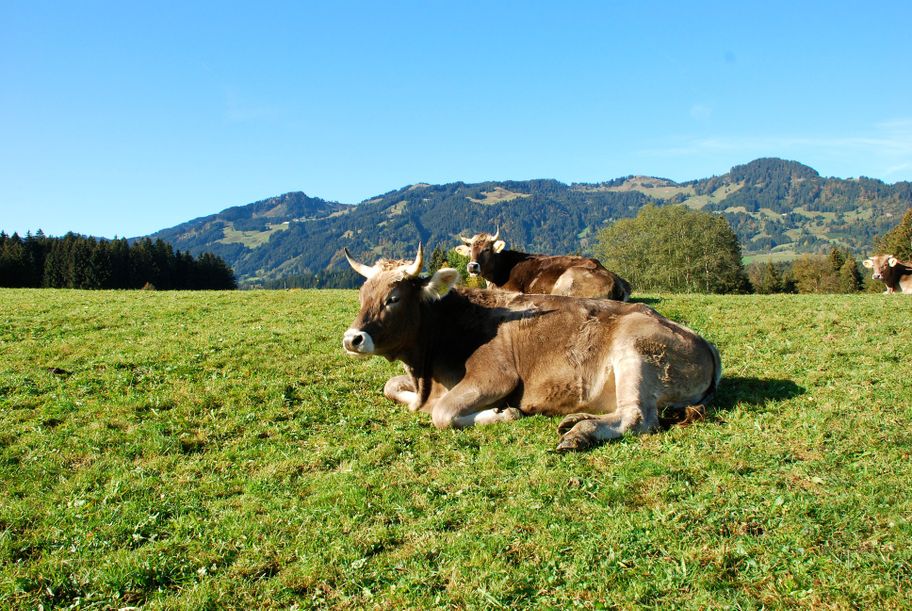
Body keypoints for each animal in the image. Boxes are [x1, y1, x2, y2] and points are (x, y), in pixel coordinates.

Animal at [341, 244, 721, 451]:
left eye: (393, 298)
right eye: (362, 295)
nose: (352, 339)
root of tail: (703, 340)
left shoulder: (496, 376)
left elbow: (442, 413)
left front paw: (502, 414)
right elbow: (392, 387)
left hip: (636, 354)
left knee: (637, 417)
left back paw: (580, 434)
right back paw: (576, 419)